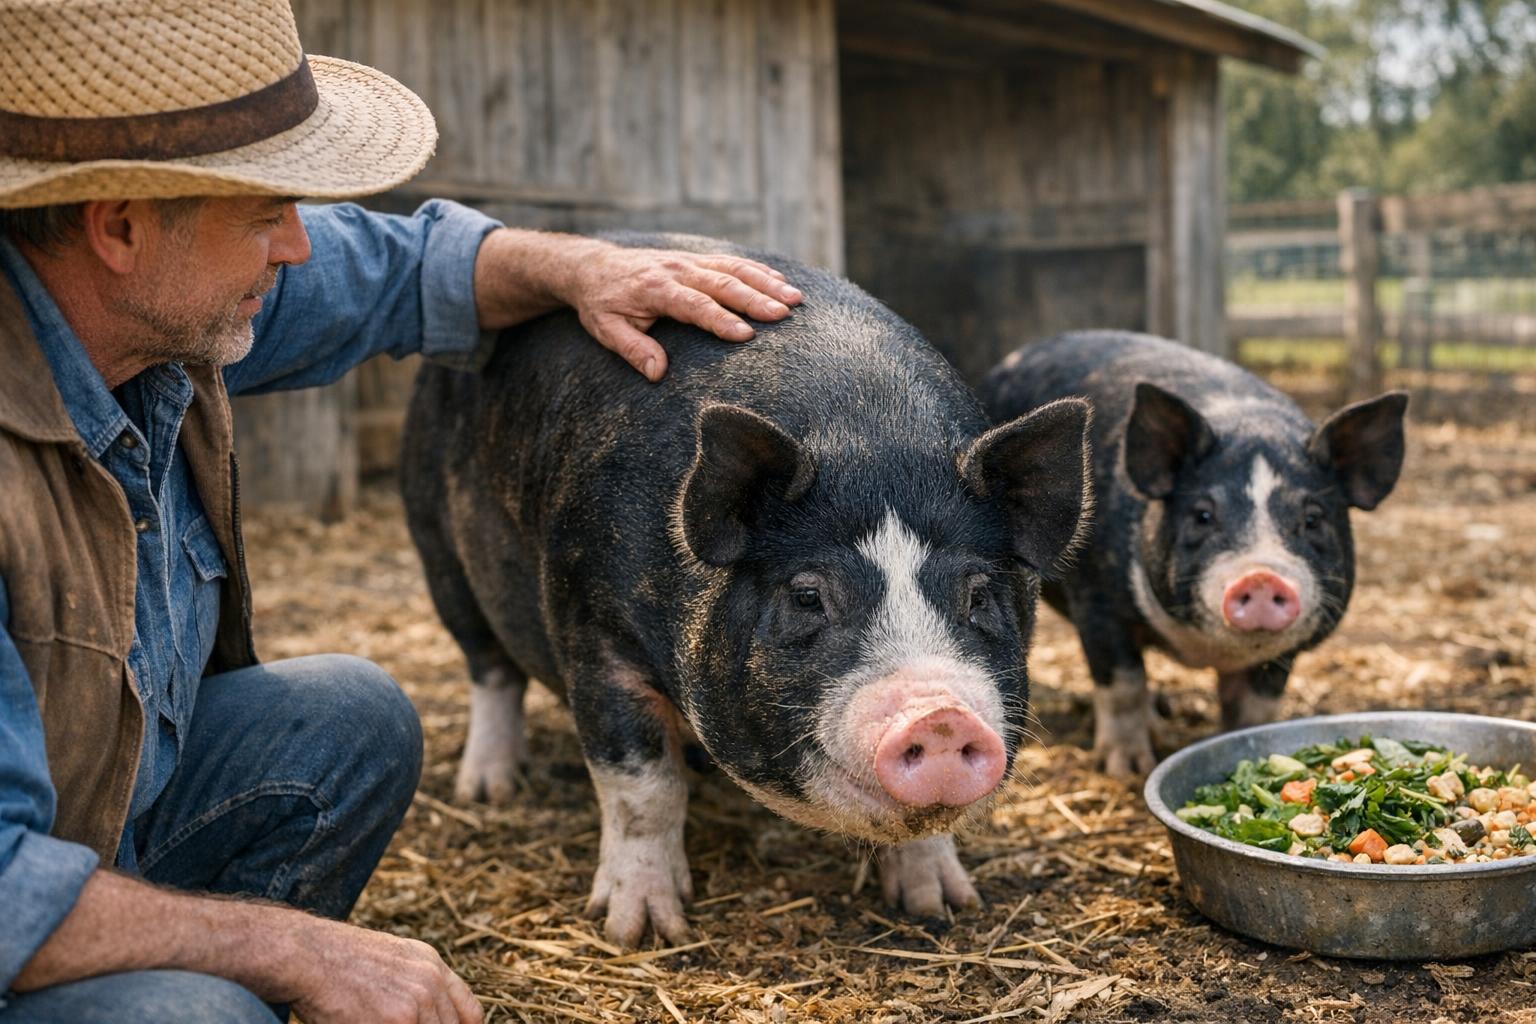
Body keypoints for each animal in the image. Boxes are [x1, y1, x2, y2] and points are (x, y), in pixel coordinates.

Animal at [400, 233, 1092, 946]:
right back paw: (489, 791)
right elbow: (641, 785)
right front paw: (643, 932)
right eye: (808, 596)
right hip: (432, 538)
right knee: (489, 667)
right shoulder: (591, 626)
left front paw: (943, 906)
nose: (942, 716)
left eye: (979, 595)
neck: (870, 436)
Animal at [979, 330, 1407, 776]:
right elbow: (1123, 684)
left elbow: (1255, 709)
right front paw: (1129, 770)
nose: (1260, 576)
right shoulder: (1096, 601)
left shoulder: (1281, 656)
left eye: (1312, 519)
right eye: (1203, 515)